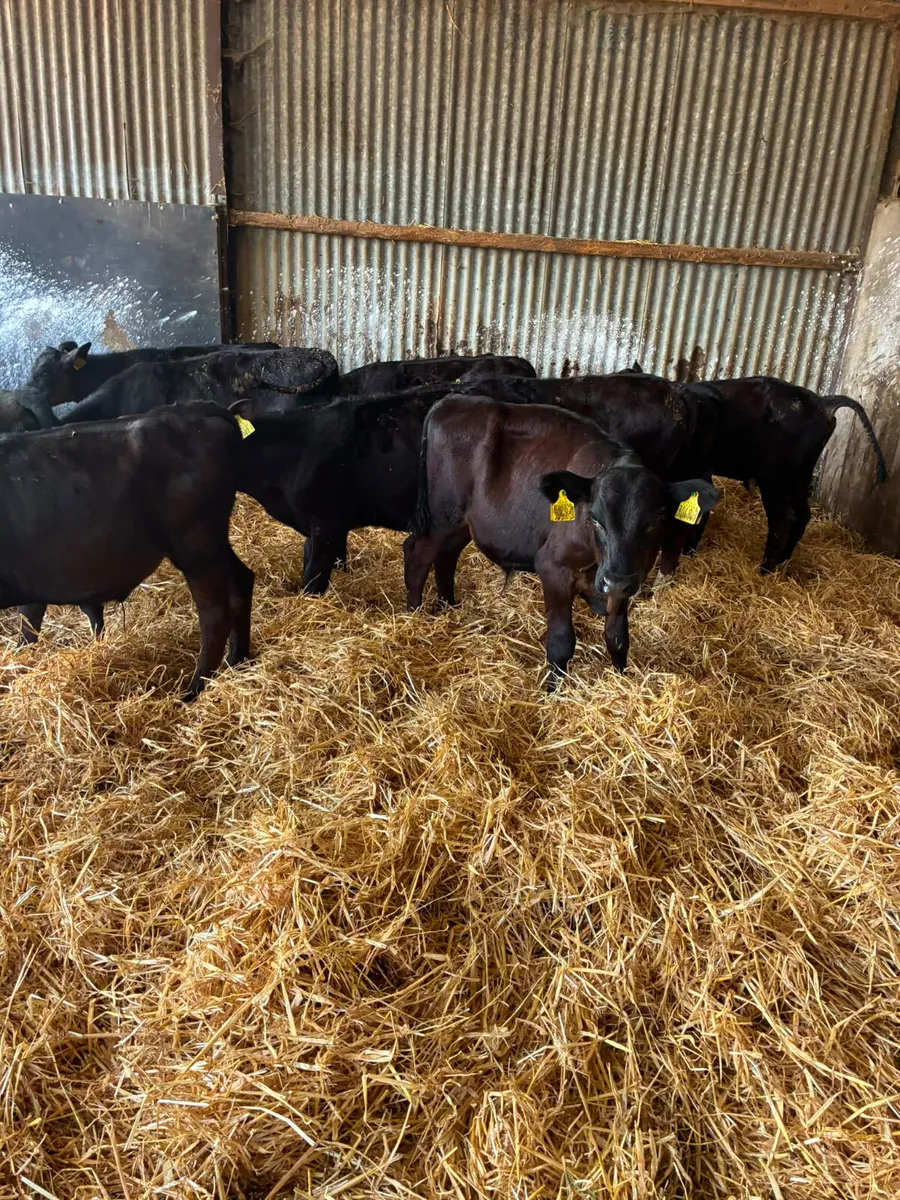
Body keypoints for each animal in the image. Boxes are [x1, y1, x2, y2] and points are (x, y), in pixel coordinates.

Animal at [0, 403, 253, 698]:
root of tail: (198, 411)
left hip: (196, 546)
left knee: (217, 610)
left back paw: (193, 691)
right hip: (214, 543)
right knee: (243, 581)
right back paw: (237, 660)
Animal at [404, 395, 719, 683]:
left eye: (654, 522)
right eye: (595, 519)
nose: (616, 580)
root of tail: (452, 400)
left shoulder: (624, 579)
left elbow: (617, 637)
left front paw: (622, 678)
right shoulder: (553, 568)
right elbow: (561, 642)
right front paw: (553, 690)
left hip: (462, 523)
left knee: (447, 556)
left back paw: (448, 606)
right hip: (441, 516)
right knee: (417, 554)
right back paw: (414, 615)